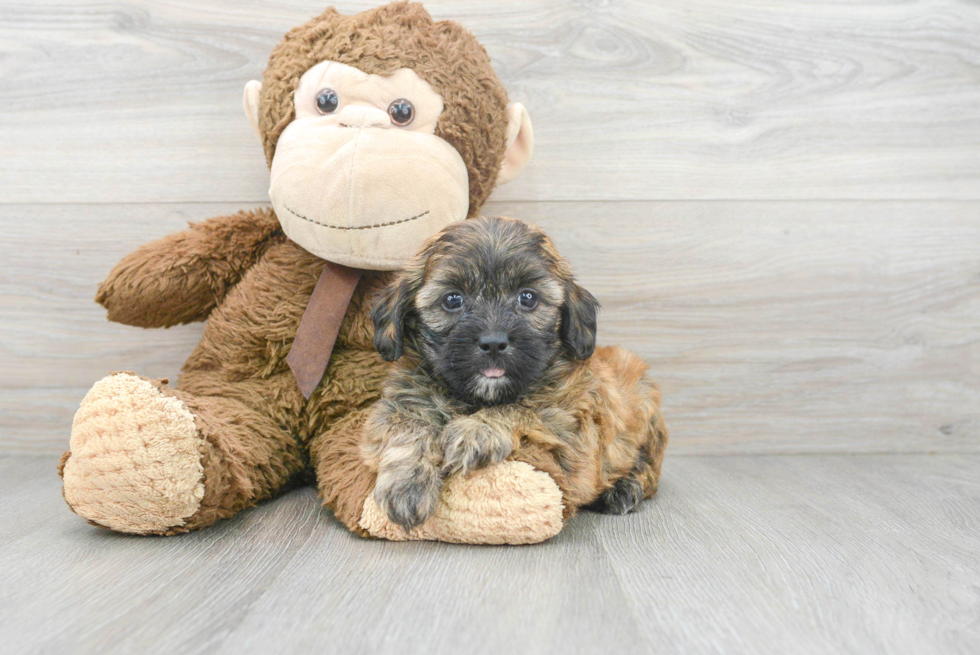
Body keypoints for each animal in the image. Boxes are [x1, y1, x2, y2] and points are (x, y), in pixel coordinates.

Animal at [364, 217, 668, 532]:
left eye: (528, 298)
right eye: (453, 299)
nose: (494, 342)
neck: (478, 398)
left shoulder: (573, 430)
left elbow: (524, 409)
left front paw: (476, 431)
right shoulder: (399, 403)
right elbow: (408, 427)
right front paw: (407, 485)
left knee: (647, 467)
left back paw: (624, 488)